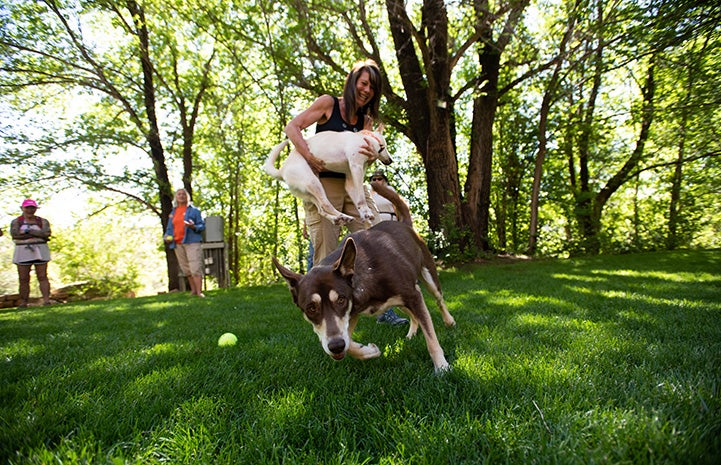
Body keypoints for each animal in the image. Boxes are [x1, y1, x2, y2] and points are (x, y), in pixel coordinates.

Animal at [262, 128, 390, 226]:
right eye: (384, 147)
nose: (390, 160)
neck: (368, 139)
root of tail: (282, 170)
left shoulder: (350, 181)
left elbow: (358, 200)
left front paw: (365, 214)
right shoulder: (356, 168)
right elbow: (361, 197)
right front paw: (366, 212)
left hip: (310, 194)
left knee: (321, 210)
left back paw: (338, 218)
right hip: (313, 183)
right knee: (326, 205)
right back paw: (342, 216)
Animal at [272, 179, 452, 372]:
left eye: (340, 300)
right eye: (311, 308)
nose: (336, 346)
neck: (364, 278)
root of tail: (405, 224)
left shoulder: (412, 295)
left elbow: (431, 336)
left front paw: (442, 367)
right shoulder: (351, 314)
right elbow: (349, 343)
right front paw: (368, 351)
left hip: (427, 279)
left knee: (439, 300)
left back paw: (449, 321)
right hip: (403, 300)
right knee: (413, 315)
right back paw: (411, 333)